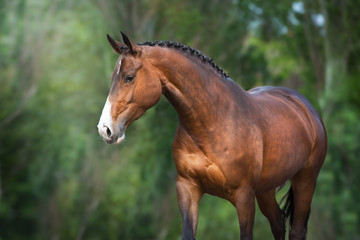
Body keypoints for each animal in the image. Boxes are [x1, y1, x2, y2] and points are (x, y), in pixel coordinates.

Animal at [97, 32, 328, 240]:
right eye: (112, 77)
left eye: (129, 77)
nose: (105, 129)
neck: (212, 123)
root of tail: (306, 108)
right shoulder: (188, 188)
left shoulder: (244, 197)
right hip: (266, 190)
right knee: (279, 224)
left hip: (305, 182)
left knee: (296, 230)